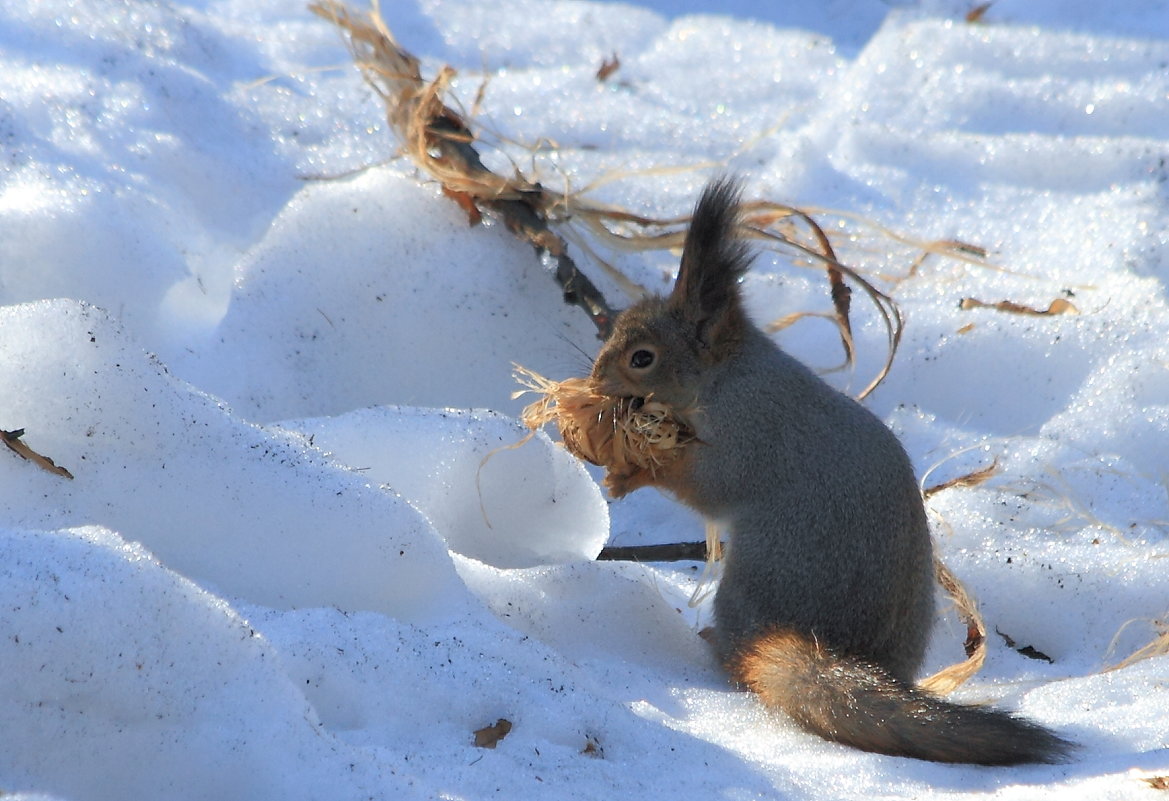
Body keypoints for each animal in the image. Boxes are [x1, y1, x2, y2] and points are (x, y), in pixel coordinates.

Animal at [589, 177, 1070, 767]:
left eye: (642, 357)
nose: (594, 380)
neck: (727, 377)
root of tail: (844, 649)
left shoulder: (748, 433)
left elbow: (707, 485)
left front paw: (631, 472)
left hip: (756, 581)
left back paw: (715, 645)